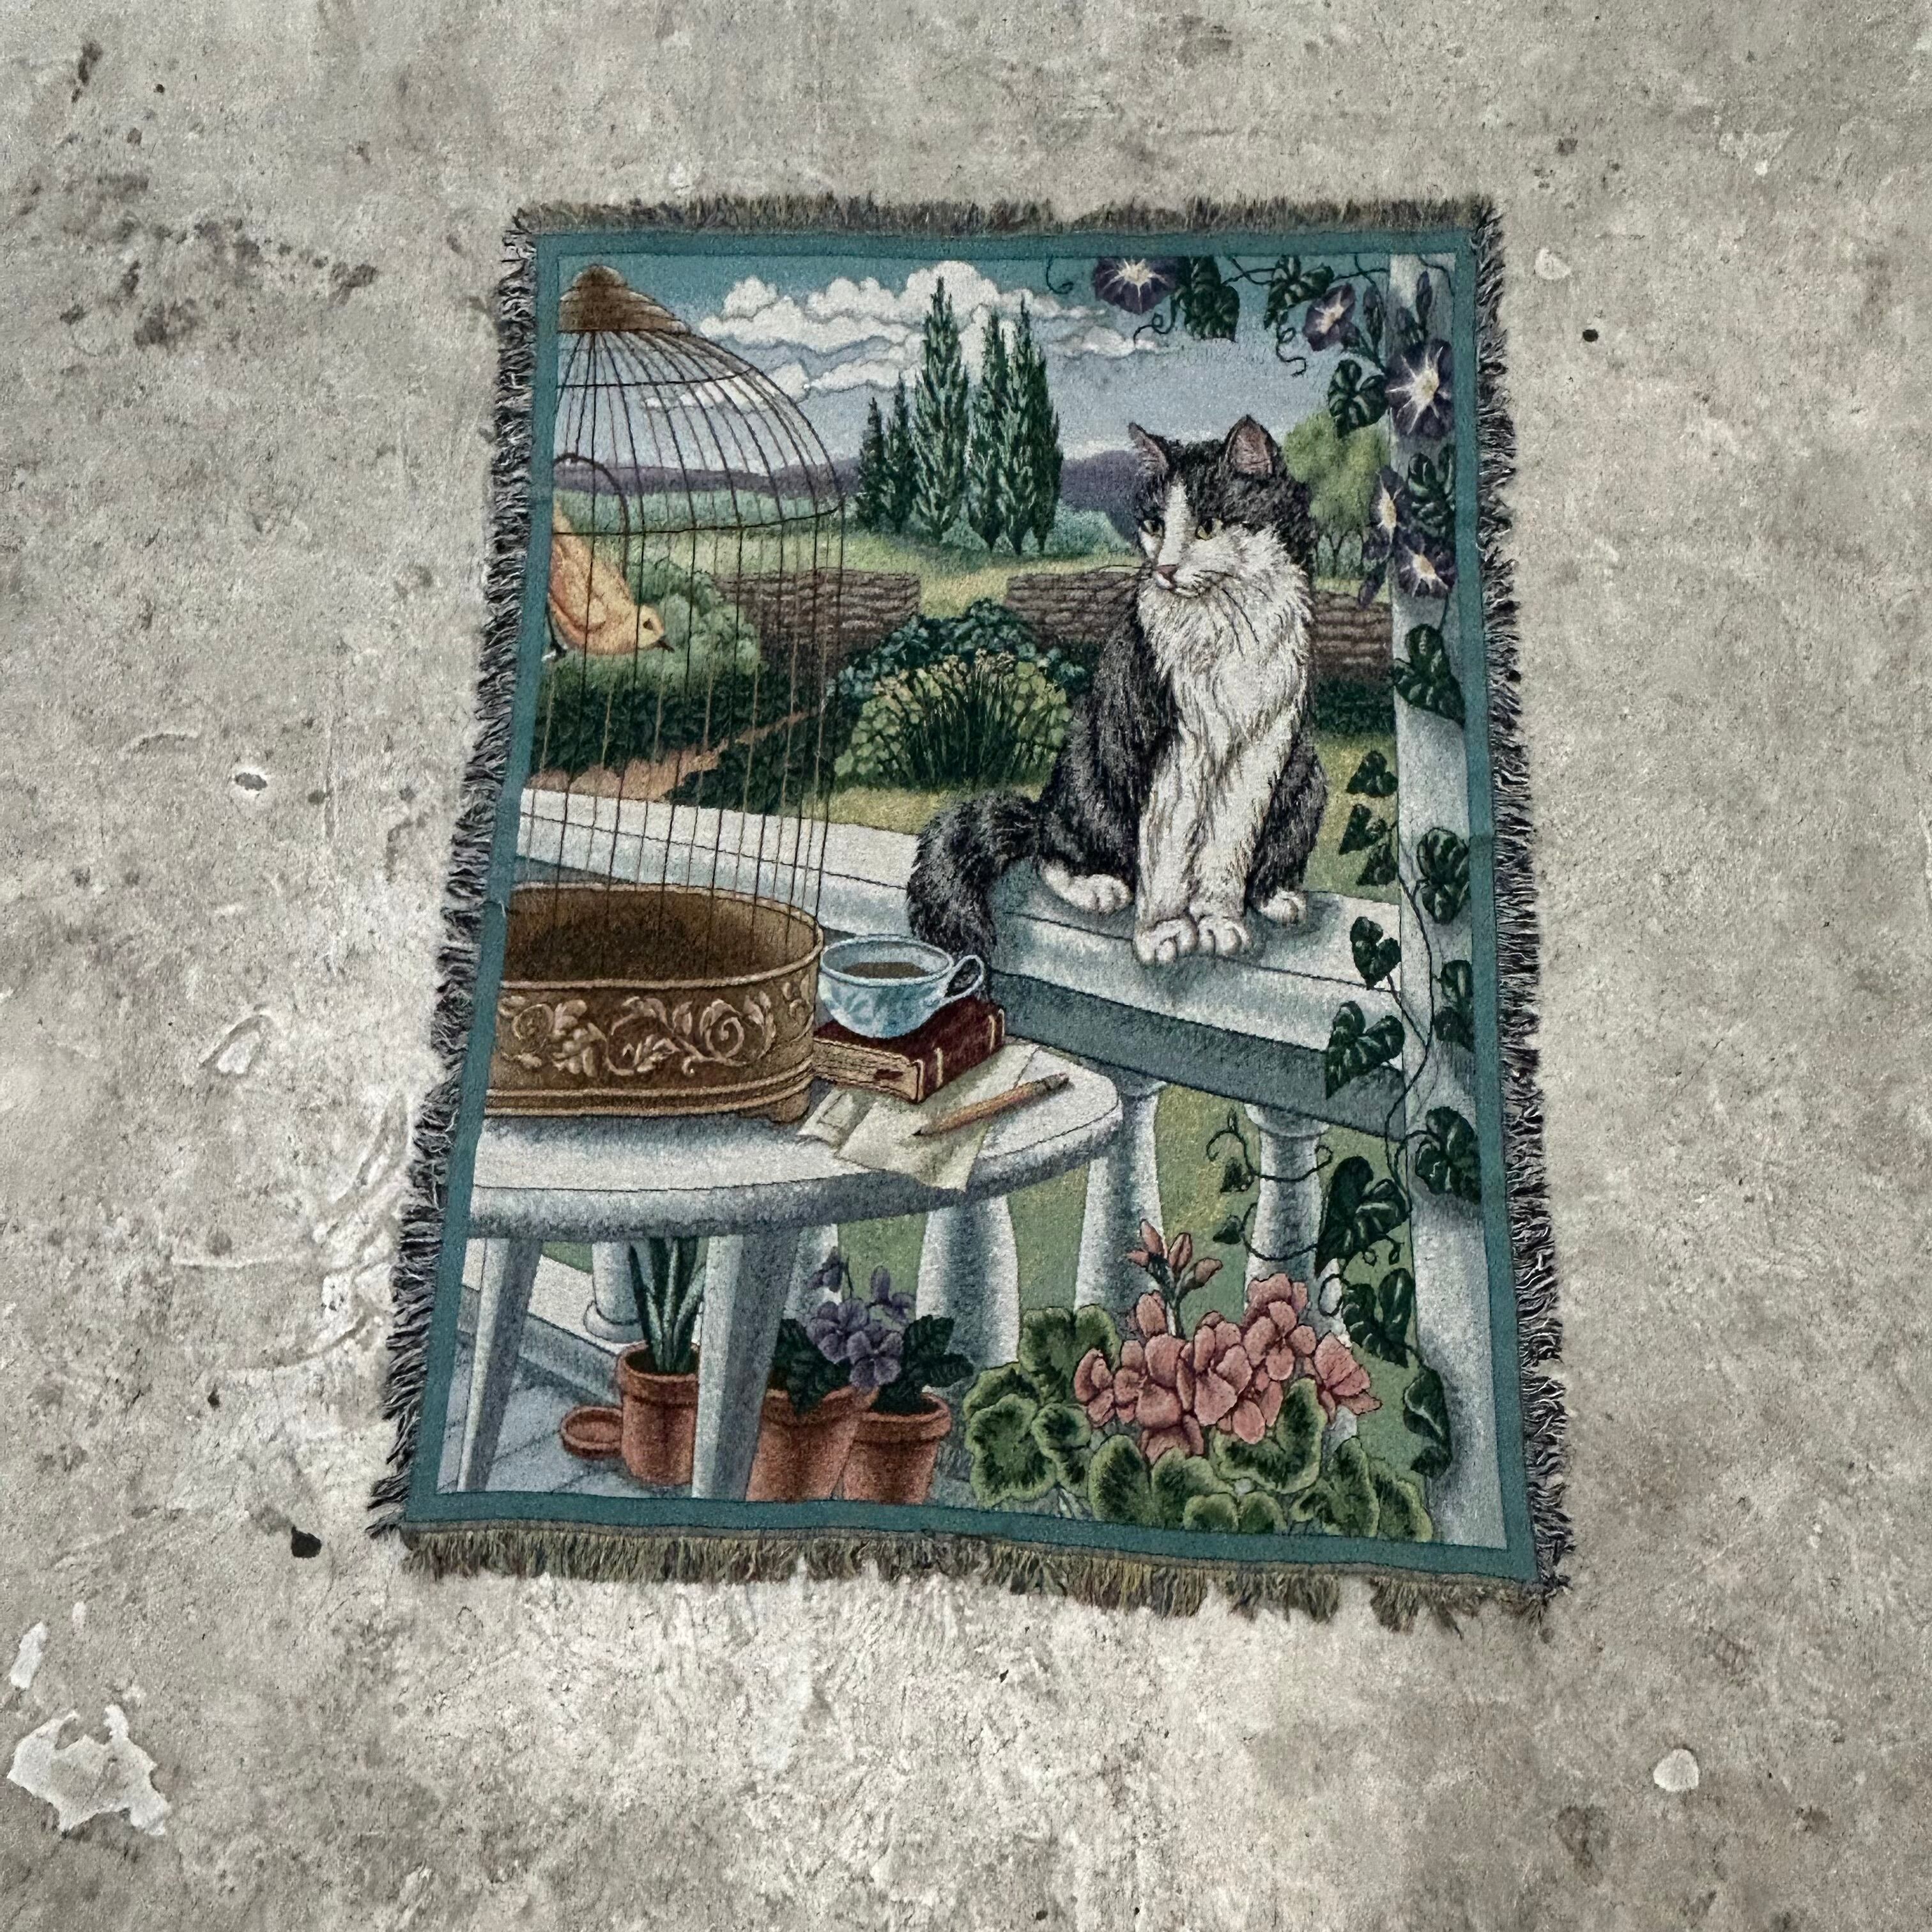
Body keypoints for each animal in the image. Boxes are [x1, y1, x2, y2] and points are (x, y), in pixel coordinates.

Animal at [907, 414, 1326, 968]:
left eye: (1207, 528)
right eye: (1155, 527)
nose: (1165, 570)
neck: (1228, 621)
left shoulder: (1264, 747)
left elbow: (1228, 846)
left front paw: (1219, 920)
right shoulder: (1176, 747)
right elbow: (1166, 851)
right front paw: (1164, 931)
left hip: (1308, 776)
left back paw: (1275, 896)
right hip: (1087, 773)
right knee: (1051, 849)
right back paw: (1095, 886)